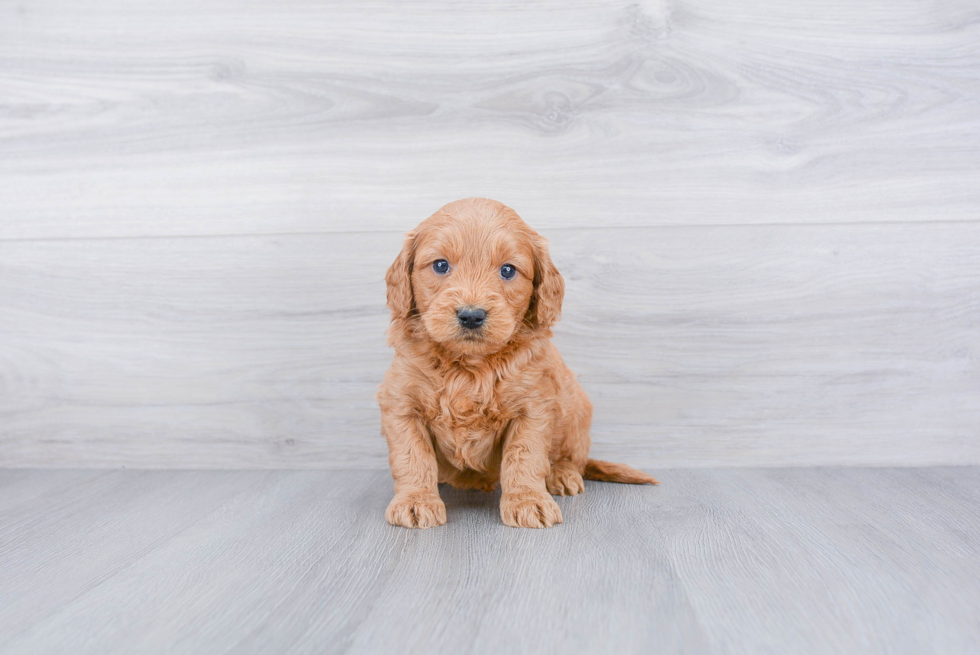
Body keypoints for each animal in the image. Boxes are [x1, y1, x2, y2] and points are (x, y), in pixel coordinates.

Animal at [378, 197, 656, 532]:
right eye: (441, 265)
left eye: (508, 270)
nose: (471, 315)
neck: (470, 367)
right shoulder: (402, 404)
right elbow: (413, 455)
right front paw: (416, 500)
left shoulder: (533, 407)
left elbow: (524, 456)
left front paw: (527, 501)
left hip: (577, 411)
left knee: (572, 459)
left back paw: (561, 474)